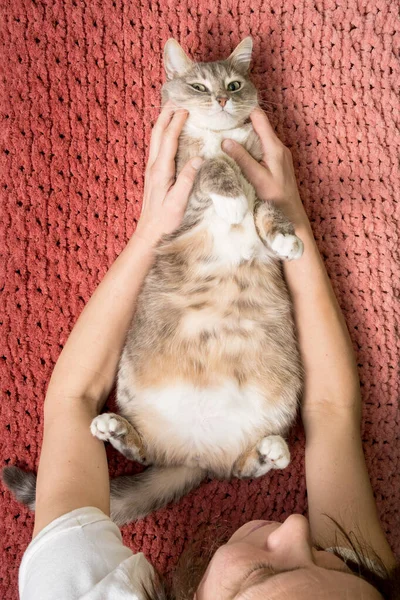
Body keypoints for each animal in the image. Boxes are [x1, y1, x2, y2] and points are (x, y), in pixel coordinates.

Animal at [2, 37, 304, 524]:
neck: (218, 137)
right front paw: (233, 197)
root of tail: (195, 453)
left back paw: (269, 451)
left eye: (234, 84)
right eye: (199, 85)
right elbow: (212, 170)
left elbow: (266, 206)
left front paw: (284, 239)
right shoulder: (183, 189)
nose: (222, 99)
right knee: (145, 453)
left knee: (240, 468)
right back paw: (116, 429)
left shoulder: (263, 177)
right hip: (134, 394)